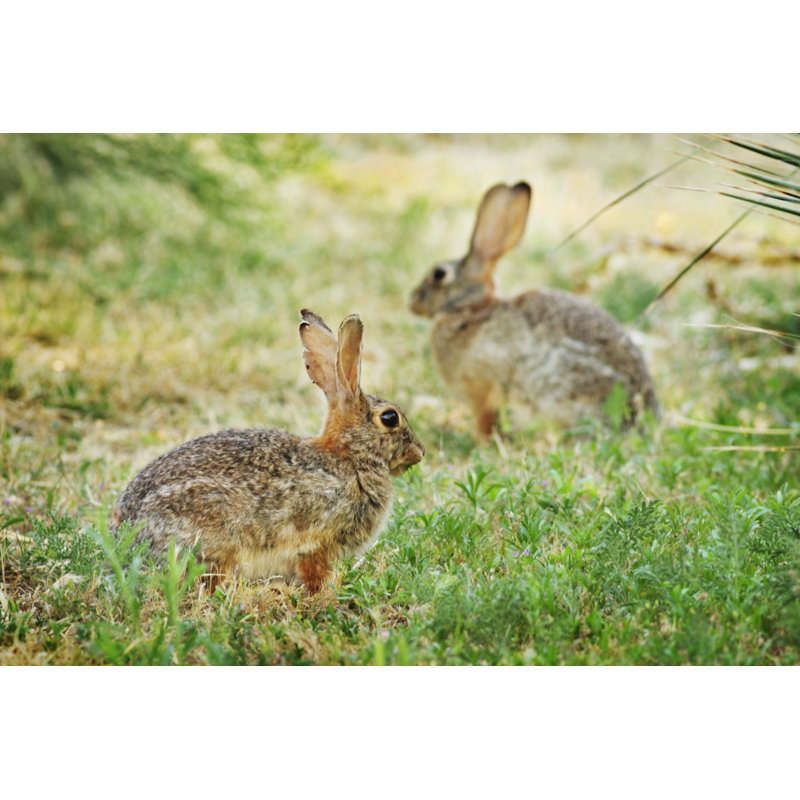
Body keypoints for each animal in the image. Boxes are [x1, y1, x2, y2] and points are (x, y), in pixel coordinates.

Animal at [111, 309, 425, 593]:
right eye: (390, 418)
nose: (419, 452)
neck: (349, 456)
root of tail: (126, 542)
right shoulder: (316, 541)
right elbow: (314, 571)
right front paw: (326, 591)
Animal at [409, 181, 658, 438]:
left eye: (439, 274)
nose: (412, 301)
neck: (470, 308)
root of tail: (640, 417)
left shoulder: (482, 387)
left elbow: (484, 420)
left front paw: (481, 439)